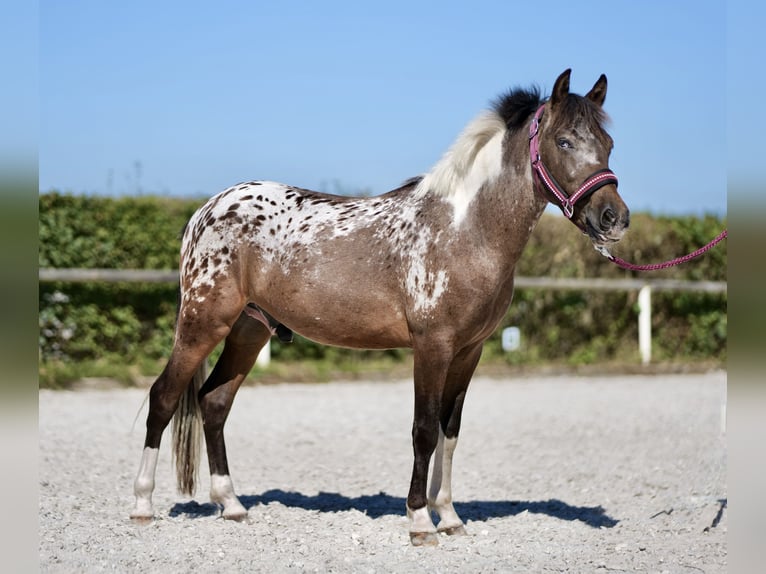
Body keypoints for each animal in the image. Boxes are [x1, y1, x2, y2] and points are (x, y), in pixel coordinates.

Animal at [130, 70, 632, 548]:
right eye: (563, 141)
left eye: (608, 144)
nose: (614, 219)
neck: (466, 231)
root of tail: (206, 210)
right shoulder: (432, 346)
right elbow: (424, 430)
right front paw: (420, 523)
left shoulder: (469, 351)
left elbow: (450, 431)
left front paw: (450, 518)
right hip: (202, 322)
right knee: (164, 396)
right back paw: (142, 506)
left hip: (248, 330)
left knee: (214, 402)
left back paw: (232, 505)